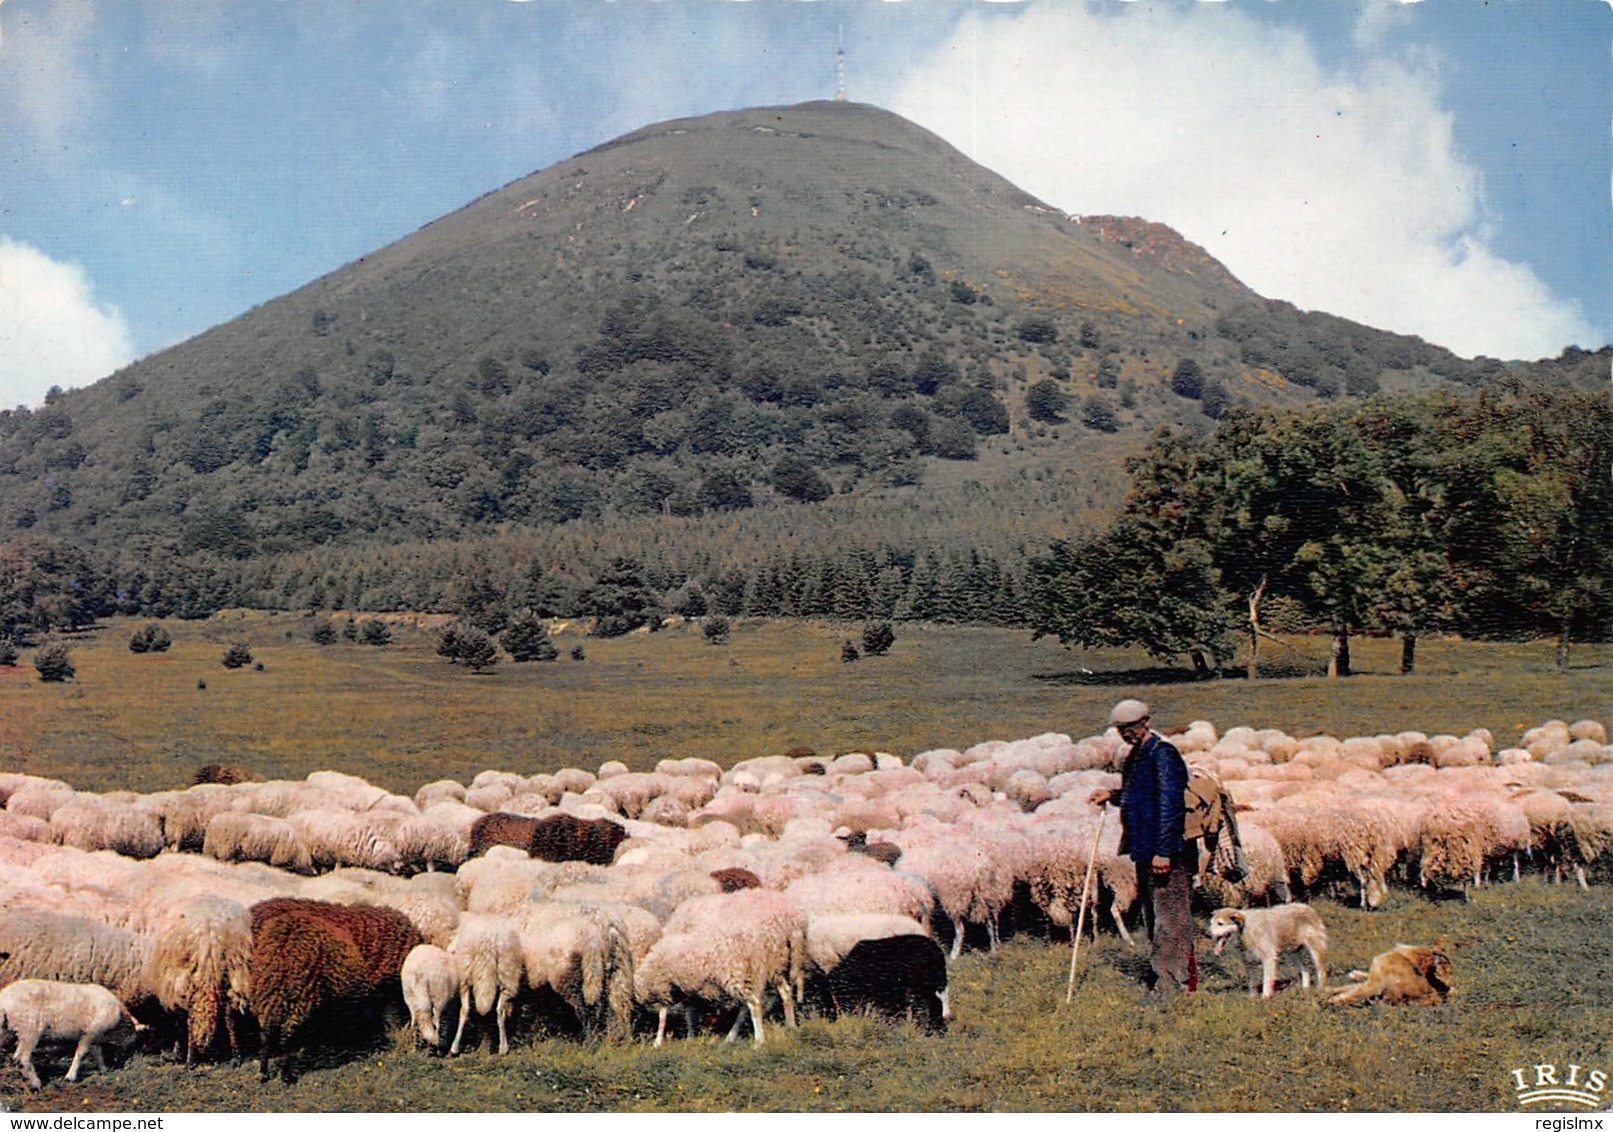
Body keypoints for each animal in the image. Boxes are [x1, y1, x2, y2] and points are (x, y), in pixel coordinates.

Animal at [0, 986, 145, 1090]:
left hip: (25, 1029)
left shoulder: (94, 1033)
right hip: (31, 1028)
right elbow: (81, 1053)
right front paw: (70, 1077)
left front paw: (103, 1070)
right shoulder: (91, 1031)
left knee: (18, 1056)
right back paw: (36, 1083)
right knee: (23, 1057)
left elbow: (96, 1051)